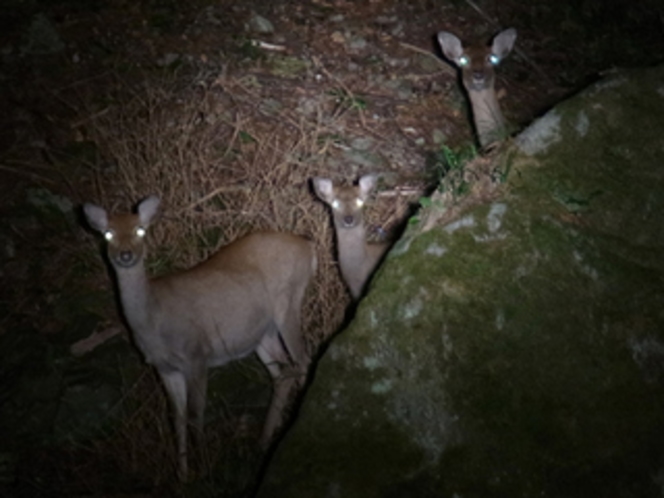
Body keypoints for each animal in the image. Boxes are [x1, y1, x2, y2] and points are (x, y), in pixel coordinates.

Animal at [82, 196, 316, 482]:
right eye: (108, 233)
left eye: (140, 230)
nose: (126, 255)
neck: (154, 322)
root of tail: (307, 246)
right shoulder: (165, 368)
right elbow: (177, 417)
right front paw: (182, 475)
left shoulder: (196, 354)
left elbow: (196, 414)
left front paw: (204, 469)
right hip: (261, 334)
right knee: (284, 373)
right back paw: (264, 441)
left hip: (288, 303)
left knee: (303, 359)